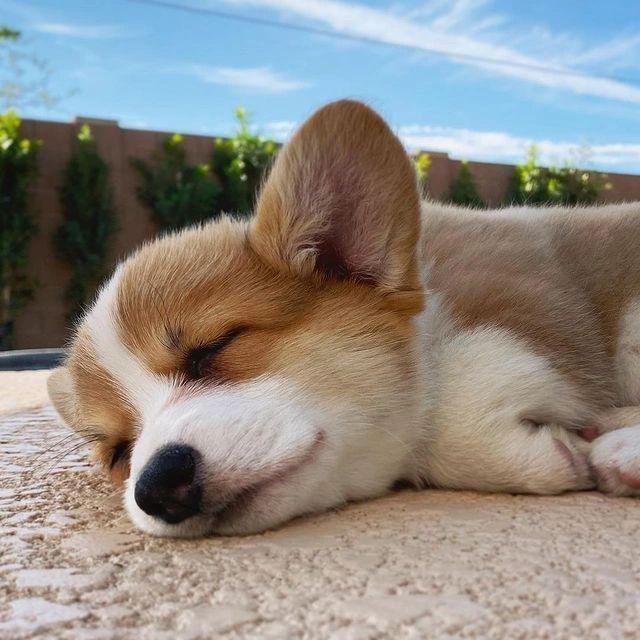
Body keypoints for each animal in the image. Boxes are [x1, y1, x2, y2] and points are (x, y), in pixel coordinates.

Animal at [48, 100, 640, 537]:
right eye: (117, 451)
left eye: (214, 347)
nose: (157, 486)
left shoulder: (531, 300)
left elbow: (460, 391)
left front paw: (568, 448)